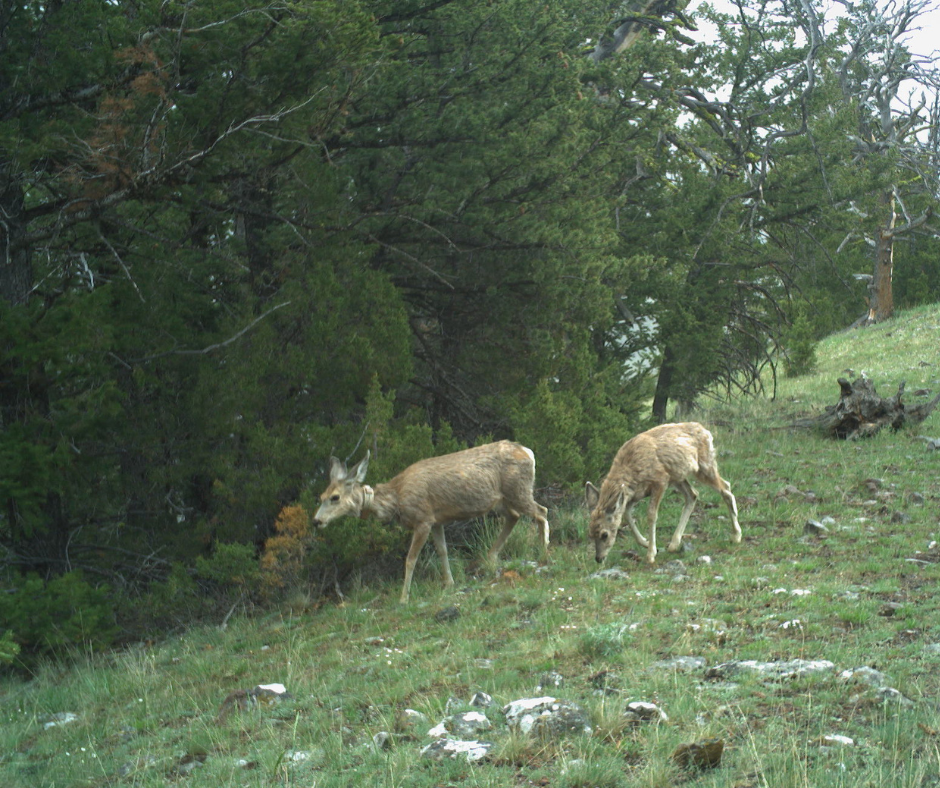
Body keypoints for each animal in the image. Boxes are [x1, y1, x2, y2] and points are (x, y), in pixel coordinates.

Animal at [314, 440, 552, 600]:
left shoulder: (423, 519)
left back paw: (544, 554)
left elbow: (411, 559)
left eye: (335, 497)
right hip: (502, 499)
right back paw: (491, 557)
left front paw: (404, 598)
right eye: (321, 496)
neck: (396, 499)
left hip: (518, 489)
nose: (317, 521)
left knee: (542, 511)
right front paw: (449, 583)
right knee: (515, 516)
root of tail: (528, 452)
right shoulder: (437, 520)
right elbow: (442, 550)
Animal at [580, 424, 740, 568]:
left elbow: (651, 514)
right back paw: (674, 544)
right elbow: (626, 514)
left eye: (604, 534)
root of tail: (706, 431)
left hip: (704, 465)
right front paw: (646, 543)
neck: (630, 469)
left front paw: (651, 554)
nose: (598, 558)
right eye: (590, 533)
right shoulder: (634, 494)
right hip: (677, 476)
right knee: (693, 495)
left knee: (726, 488)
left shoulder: (660, 480)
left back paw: (736, 535)